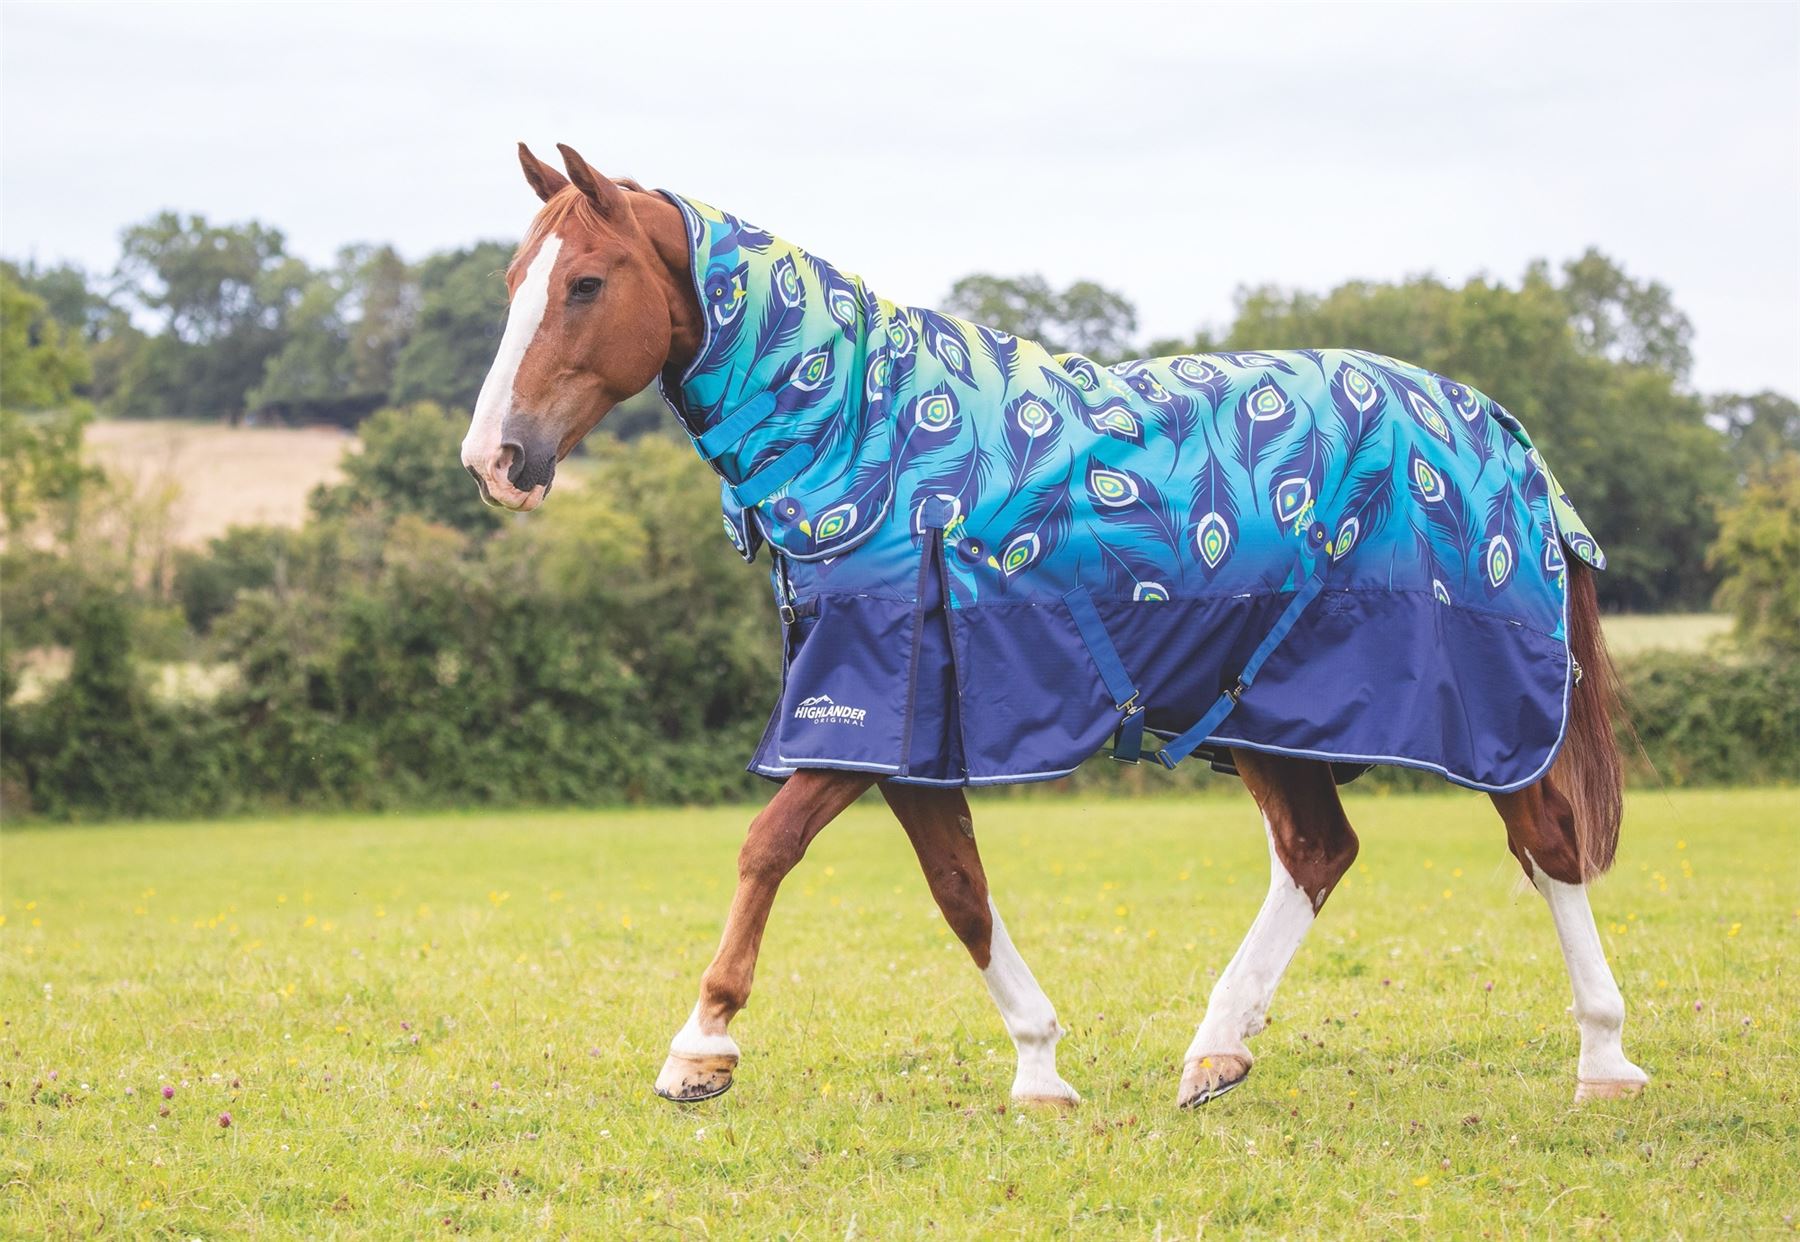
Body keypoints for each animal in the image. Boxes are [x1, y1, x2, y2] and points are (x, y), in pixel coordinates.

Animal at [460, 142, 1649, 1109]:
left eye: (586, 282)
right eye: (516, 283)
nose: (495, 459)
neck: (871, 448)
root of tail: (1502, 430)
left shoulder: (858, 720)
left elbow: (767, 849)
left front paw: (699, 1048)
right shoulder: (908, 735)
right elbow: (960, 892)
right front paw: (1039, 1066)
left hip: (1484, 719)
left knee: (1546, 847)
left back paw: (1604, 1059)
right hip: (1268, 717)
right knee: (1319, 852)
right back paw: (1217, 1048)